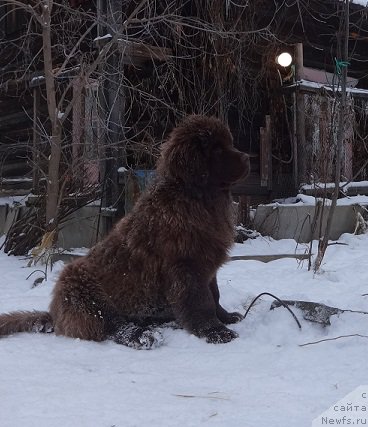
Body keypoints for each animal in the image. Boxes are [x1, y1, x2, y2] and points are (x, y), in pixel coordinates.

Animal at [0, 115, 250, 350]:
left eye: (229, 143)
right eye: (217, 149)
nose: (248, 158)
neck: (196, 199)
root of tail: (54, 314)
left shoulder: (207, 266)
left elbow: (214, 295)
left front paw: (226, 317)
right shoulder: (186, 267)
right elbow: (202, 302)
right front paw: (216, 332)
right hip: (85, 291)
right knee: (112, 325)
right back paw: (142, 336)